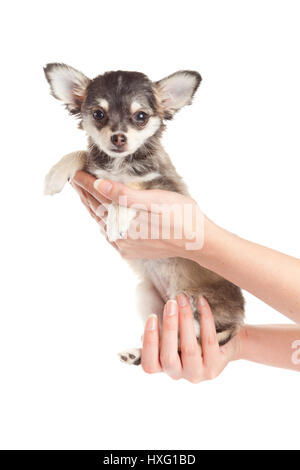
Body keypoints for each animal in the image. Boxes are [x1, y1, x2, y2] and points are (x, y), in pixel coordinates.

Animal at [43, 63, 244, 364]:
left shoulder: (165, 186)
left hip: (193, 307)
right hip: (146, 295)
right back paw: (137, 354)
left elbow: (132, 187)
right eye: (98, 114)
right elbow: (82, 154)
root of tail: (238, 320)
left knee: (185, 342)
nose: (118, 137)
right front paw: (56, 174)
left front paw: (116, 215)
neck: (120, 164)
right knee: (162, 341)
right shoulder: (97, 167)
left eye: (141, 117)